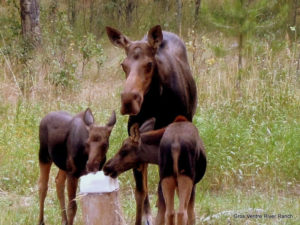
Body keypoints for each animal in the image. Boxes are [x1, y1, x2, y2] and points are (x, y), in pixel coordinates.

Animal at [105, 24, 197, 225]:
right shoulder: (136, 138)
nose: (128, 101)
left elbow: (164, 194)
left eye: (149, 64)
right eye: (123, 65)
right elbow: (140, 190)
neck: (157, 99)